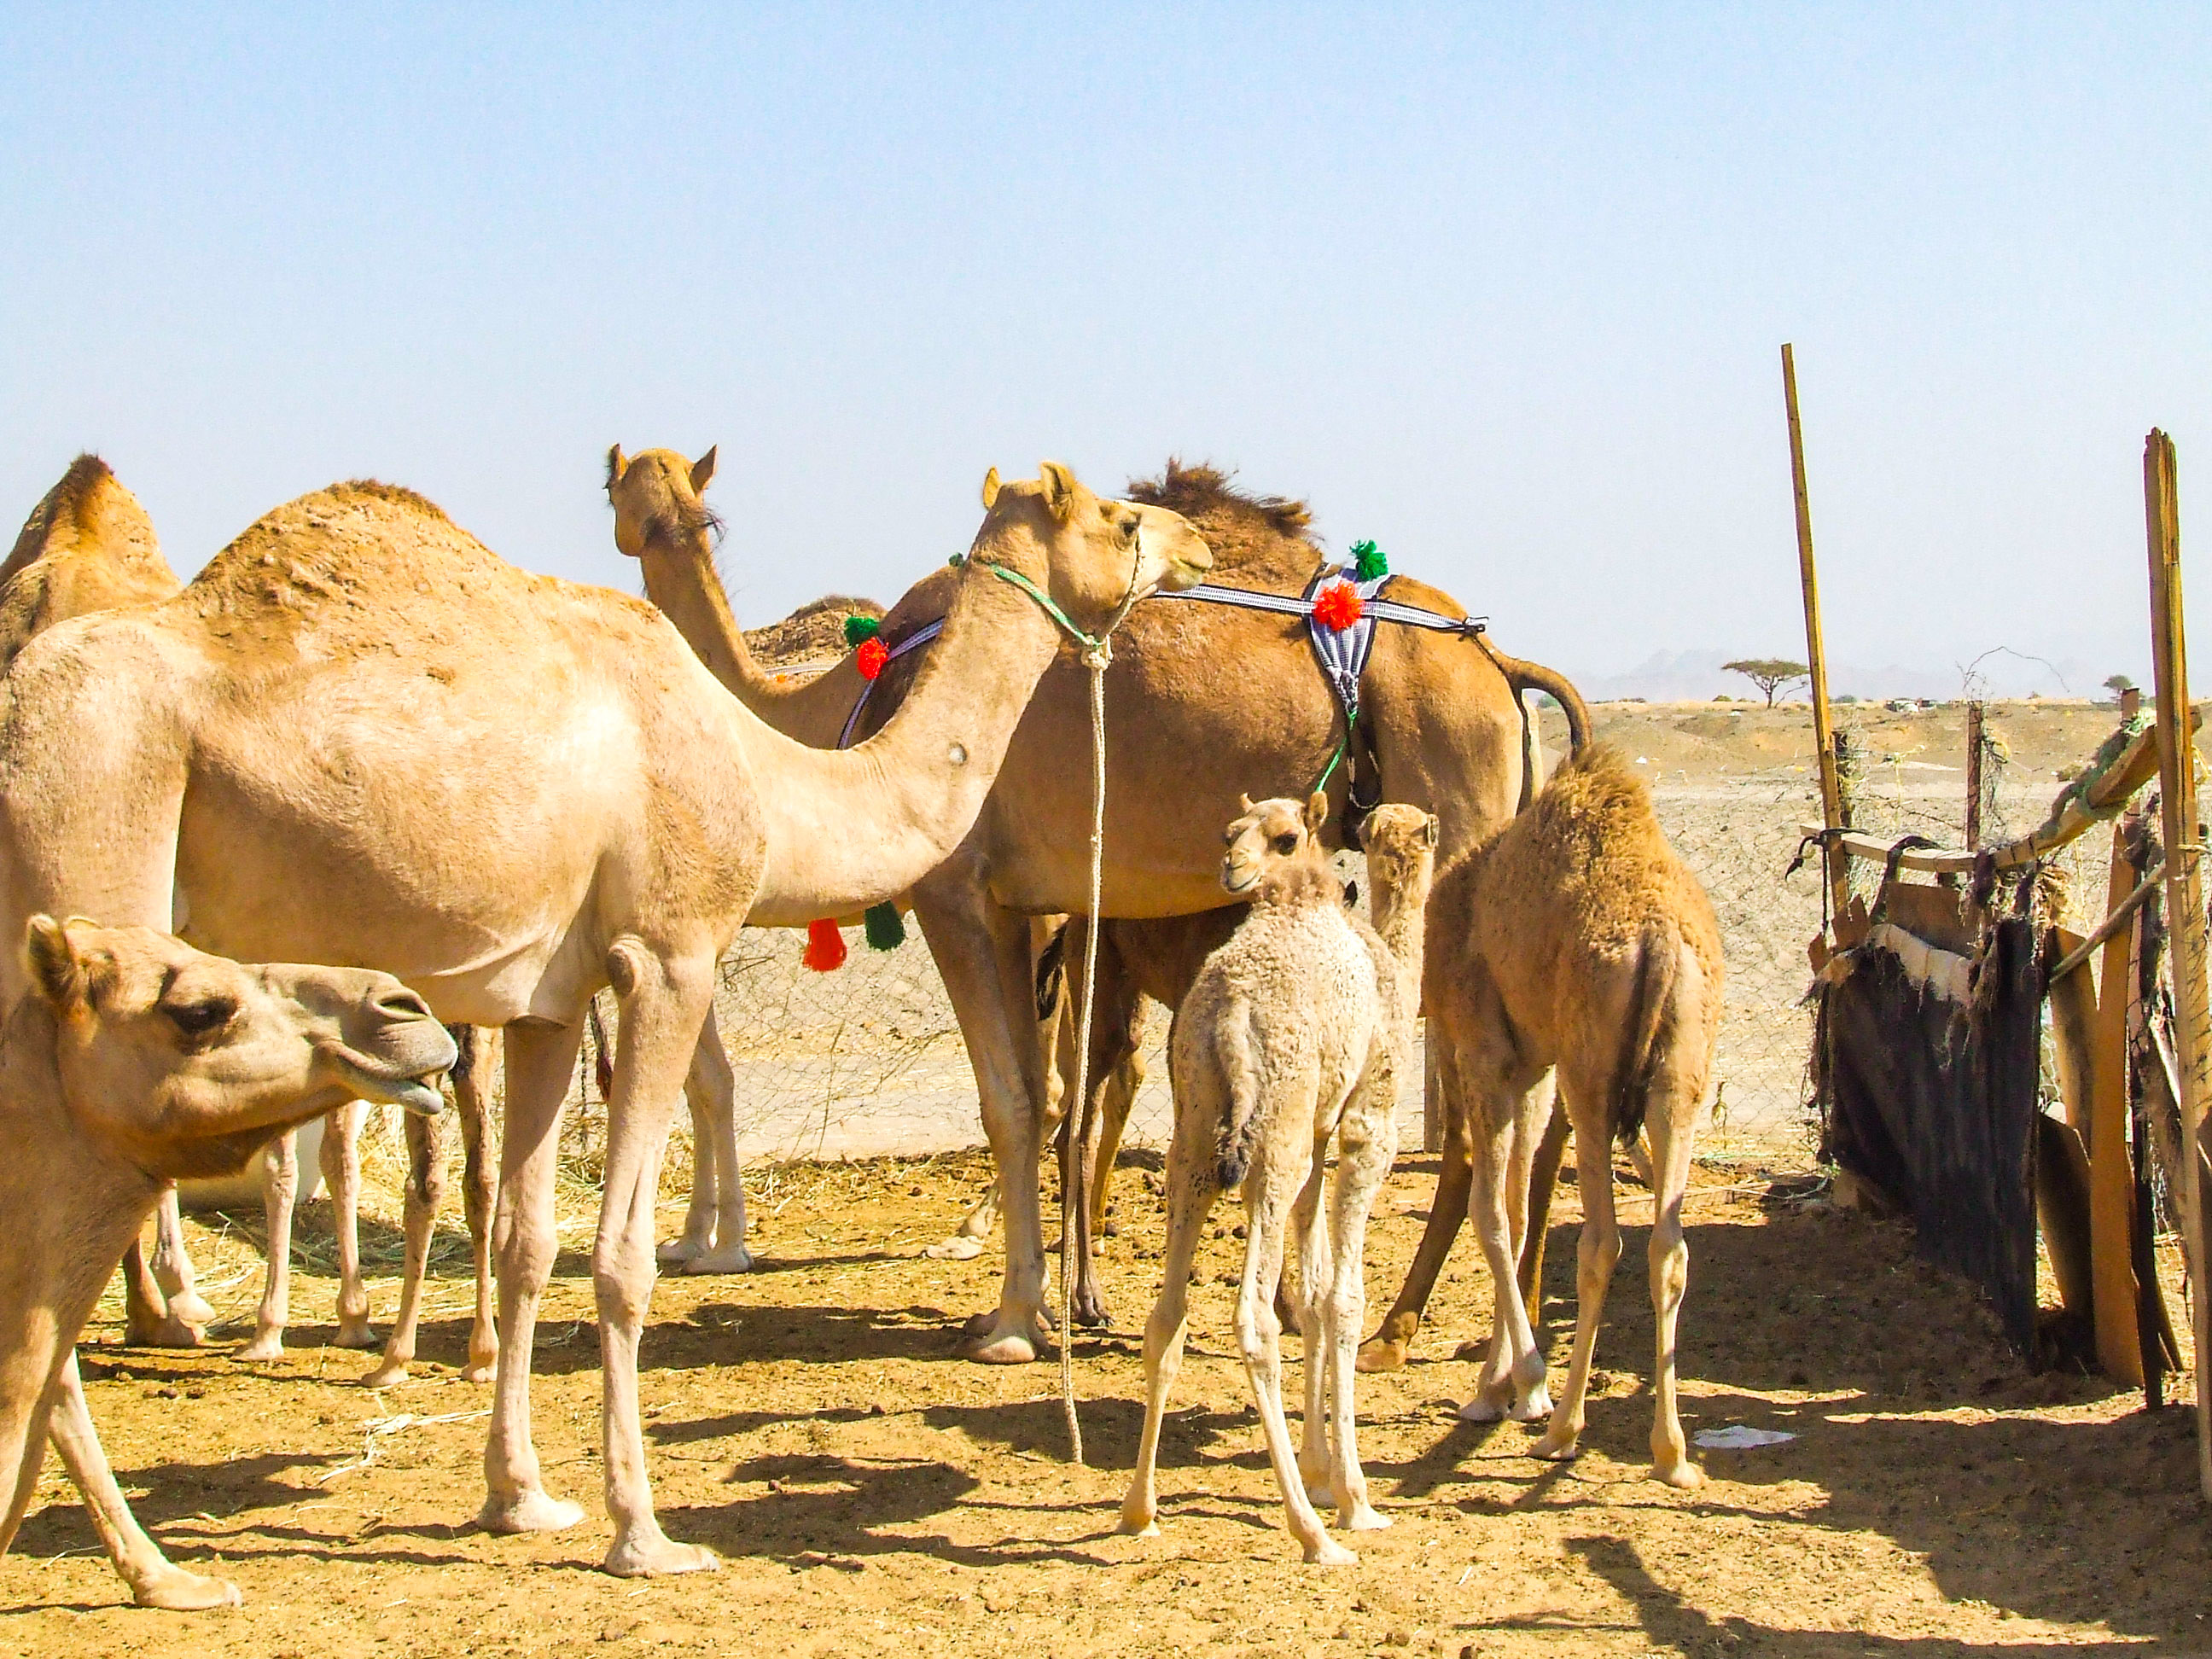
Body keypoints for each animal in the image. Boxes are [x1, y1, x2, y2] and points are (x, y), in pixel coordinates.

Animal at [606, 450, 1588, 1360]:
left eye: (627, 494)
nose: (636, 525)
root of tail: (1500, 665)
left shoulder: (954, 893)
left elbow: (1010, 1100)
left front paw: (1012, 1320)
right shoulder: (1020, 904)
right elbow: (1041, 1095)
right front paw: (1037, 1303)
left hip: (1449, 811)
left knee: (1487, 1105)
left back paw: (1414, 1328)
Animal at [1120, 796, 1433, 1563]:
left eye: (1276, 837)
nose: (1230, 865)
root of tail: (1232, 1015)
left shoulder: (1316, 1141)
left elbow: (1316, 1294)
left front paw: (1322, 1468)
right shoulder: (1364, 1123)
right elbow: (1344, 1299)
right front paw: (1354, 1497)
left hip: (1197, 1139)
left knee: (1167, 1314)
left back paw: (1140, 1510)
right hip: (1273, 1143)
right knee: (1254, 1319)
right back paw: (1313, 1534)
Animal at [1423, 744, 1722, 1486]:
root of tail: (1658, 941)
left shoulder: (1484, 1054)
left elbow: (1491, 1214)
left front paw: (1516, 1387)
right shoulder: (1530, 1067)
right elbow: (1519, 1207)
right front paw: (1499, 1384)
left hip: (1591, 1081)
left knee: (1602, 1242)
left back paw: (1563, 1429)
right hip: (1680, 1081)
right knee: (1668, 1245)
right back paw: (1673, 1454)